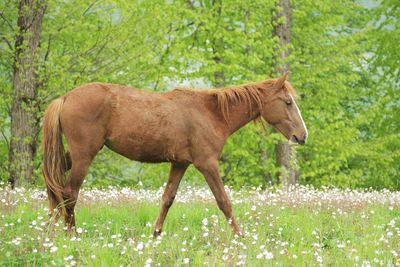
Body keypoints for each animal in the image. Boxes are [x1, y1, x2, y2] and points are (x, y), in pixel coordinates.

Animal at [42, 71, 308, 237]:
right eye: (287, 102)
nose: (302, 136)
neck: (212, 113)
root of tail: (65, 98)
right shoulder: (207, 164)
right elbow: (224, 202)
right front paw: (240, 238)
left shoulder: (180, 164)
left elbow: (167, 198)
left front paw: (156, 234)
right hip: (84, 156)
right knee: (69, 193)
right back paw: (71, 235)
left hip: (72, 156)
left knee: (53, 185)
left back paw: (48, 230)